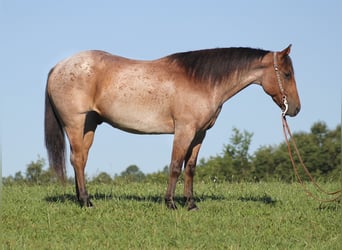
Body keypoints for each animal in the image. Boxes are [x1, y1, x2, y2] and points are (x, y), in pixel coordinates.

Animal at [44, 44, 300, 209]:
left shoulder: (199, 134)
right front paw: (170, 203)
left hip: (89, 125)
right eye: (287, 74)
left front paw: (191, 203)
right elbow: (176, 166)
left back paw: (82, 197)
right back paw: (86, 201)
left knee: (81, 160)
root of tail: (58, 66)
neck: (202, 81)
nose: (296, 109)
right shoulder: (184, 130)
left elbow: (190, 168)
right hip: (75, 123)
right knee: (77, 159)